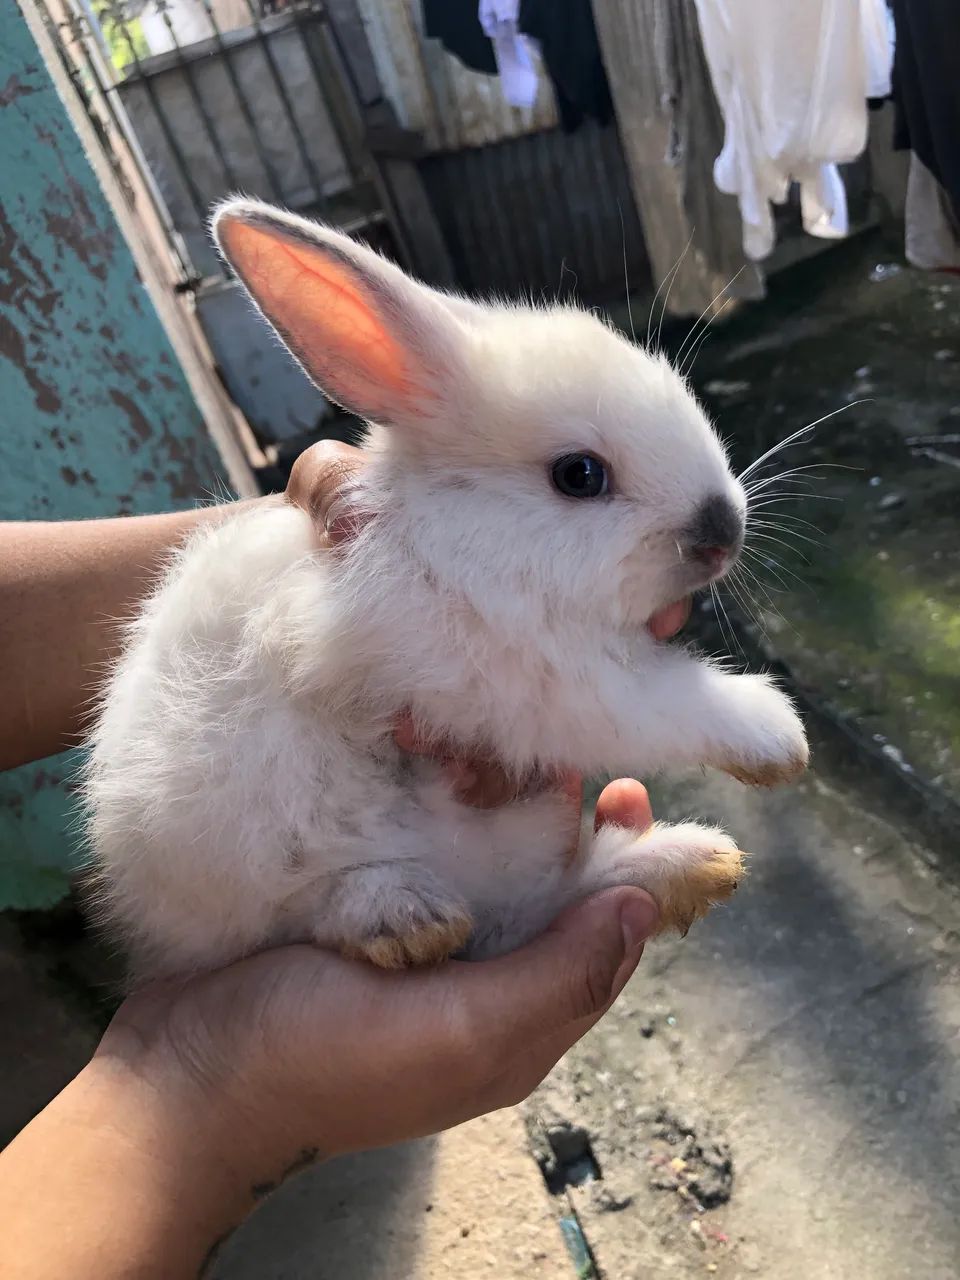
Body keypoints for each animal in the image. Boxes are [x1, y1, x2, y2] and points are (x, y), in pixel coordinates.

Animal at [82, 198, 808, 983]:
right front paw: (778, 737)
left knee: (534, 907)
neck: (459, 537)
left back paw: (686, 862)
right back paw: (404, 915)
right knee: (311, 911)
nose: (724, 530)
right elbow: (661, 703)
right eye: (579, 475)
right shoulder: (535, 681)